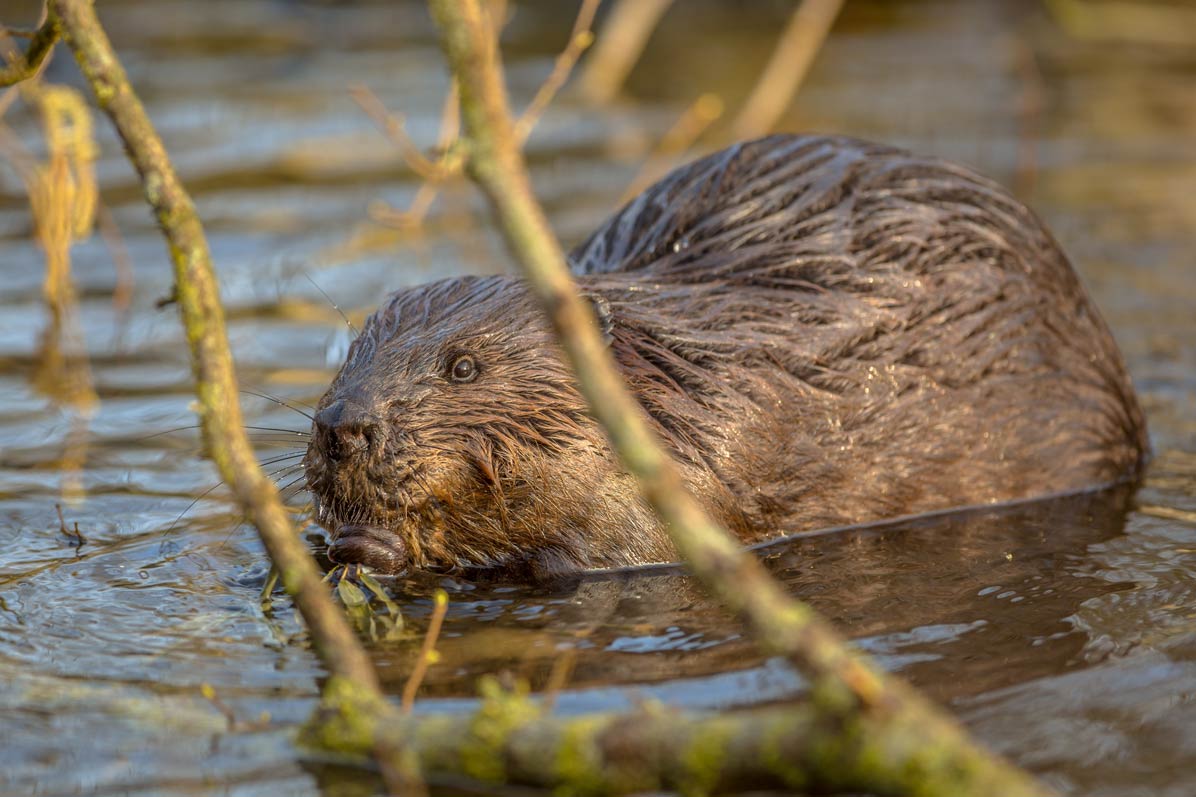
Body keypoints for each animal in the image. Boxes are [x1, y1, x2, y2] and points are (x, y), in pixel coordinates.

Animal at [301, 133, 1148, 574]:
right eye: (353, 348)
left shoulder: (694, 469)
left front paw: (377, 542)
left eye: (463, 366)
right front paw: (343, 536)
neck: (682, 384)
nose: (345, 427)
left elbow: (612, 547)